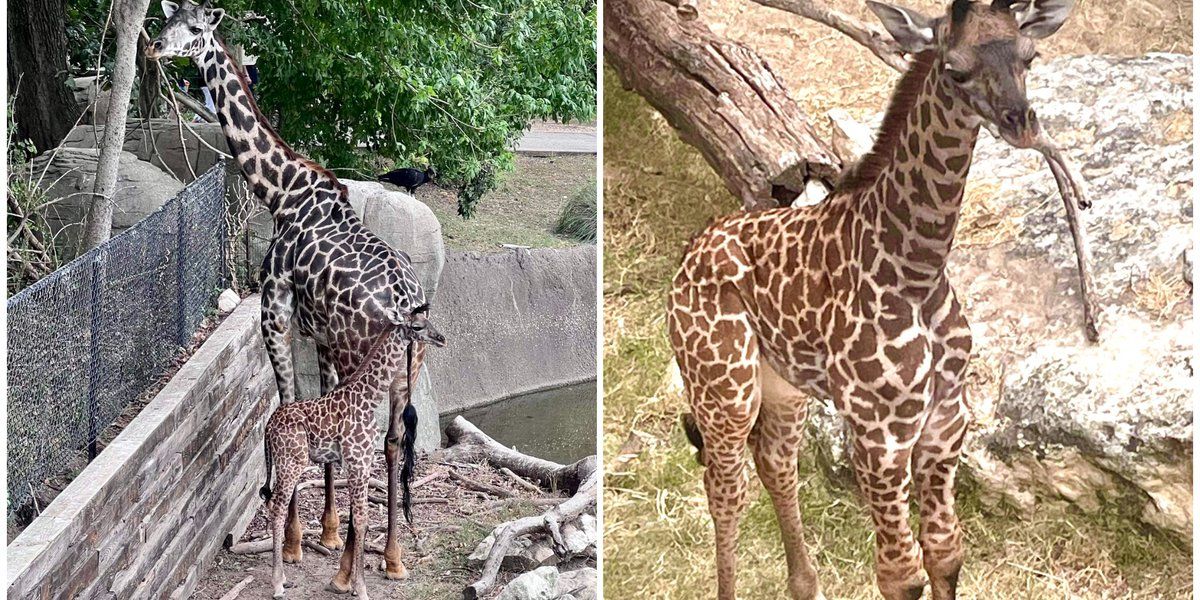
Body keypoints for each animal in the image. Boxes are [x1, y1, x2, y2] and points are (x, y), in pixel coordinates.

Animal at [149, 1, 429, 590]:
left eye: (194, 29)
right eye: (169, 18)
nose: (154, 47)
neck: (280, 193)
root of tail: (407, 302)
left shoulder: (273, 315)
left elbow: (285, 404)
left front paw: (299, 541)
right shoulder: (317, 335)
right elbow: (316, 414)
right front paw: (328, 531)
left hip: (357, 353)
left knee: (372, 444)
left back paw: (348, 573)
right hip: (400, 373)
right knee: (393, 442)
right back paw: (390, 557)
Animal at [259, 307, 446, 600]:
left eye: (427, 320)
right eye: (416, 326)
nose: (441, 338)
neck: (368, 397)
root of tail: (268, 427)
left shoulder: (361, 461)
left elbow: (362, 520)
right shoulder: (358, 460)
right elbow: (360, 520)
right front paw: (360, 588)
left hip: (283, 461)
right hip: (292, 461)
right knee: (277, 507)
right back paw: (278, 583)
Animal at [672, 1, 1075, 600]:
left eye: (1030, 55)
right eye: (955, 69)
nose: (1020, 122)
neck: (918, 270)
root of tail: (689, 253)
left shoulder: (945, 422)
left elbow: (946, 553)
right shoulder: (879, 435)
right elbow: (900, 576)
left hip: (783, 386)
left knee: (776, 464)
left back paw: (805, 584)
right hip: (723, 387)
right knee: (724, 487)